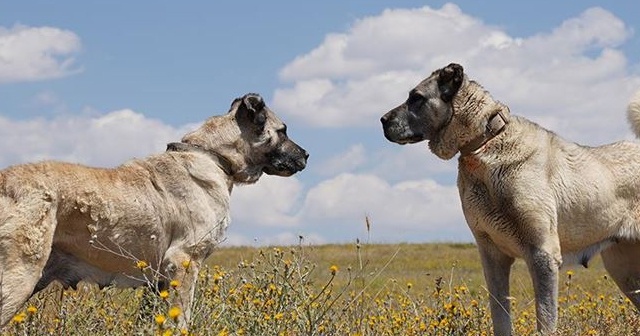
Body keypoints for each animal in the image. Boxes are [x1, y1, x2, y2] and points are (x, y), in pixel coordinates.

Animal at [0, 93, 308, 326]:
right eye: (282, 131)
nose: (306, 154)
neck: (213, 156)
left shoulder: (158, 281)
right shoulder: (184, 261)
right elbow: (181, 319)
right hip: (20, 276)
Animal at [380, 62, 640, 334]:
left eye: (416, 98)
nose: (382, 120)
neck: (485, 144)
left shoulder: (542, 254)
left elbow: (545, 319)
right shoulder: (493, 258)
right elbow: (501, 317)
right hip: (624, 270)